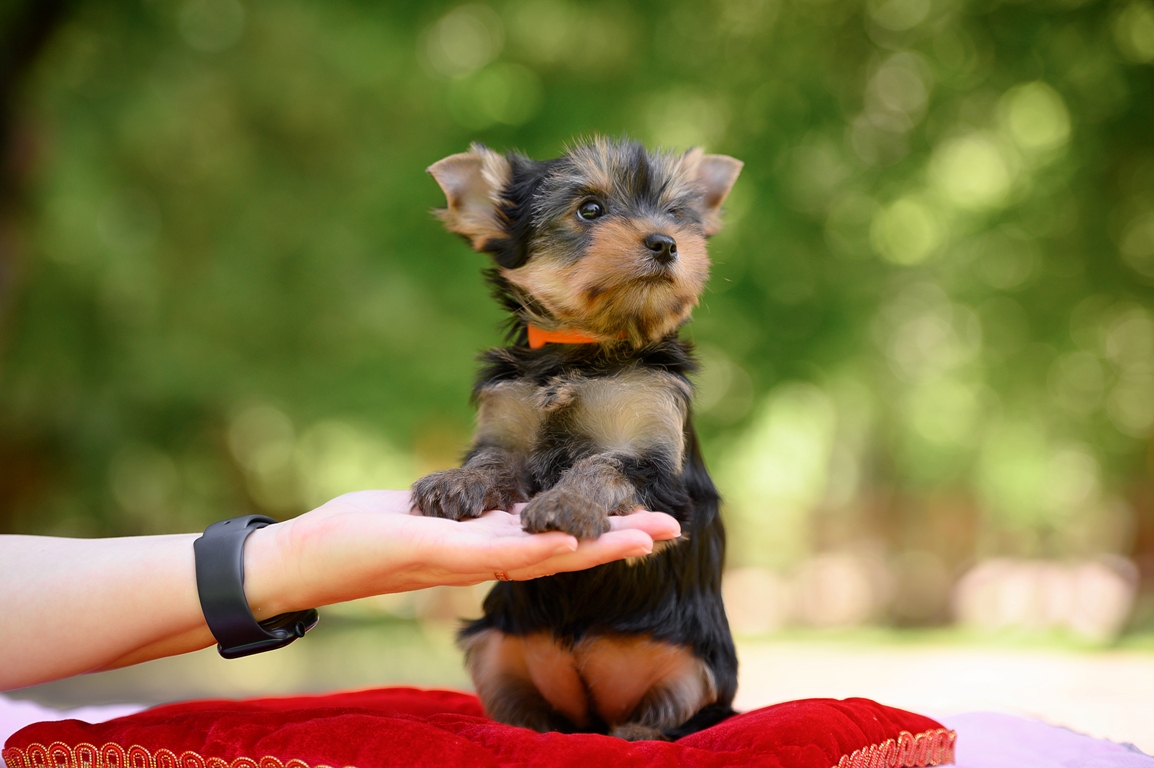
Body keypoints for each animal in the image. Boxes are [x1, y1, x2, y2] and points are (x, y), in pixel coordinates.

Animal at [410, 136, 743, 738]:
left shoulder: (658, 462)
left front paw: (567, 502)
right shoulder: (506, 418)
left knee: (673, 709)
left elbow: (604, 466)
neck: (585, 346)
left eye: (677, 215)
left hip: (701, 667)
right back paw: (528, 729)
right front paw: (458, 483)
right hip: (495, 643)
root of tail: (591, 715)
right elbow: (493, 461)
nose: (666, 243)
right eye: (590, 209)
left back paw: (639, 733)